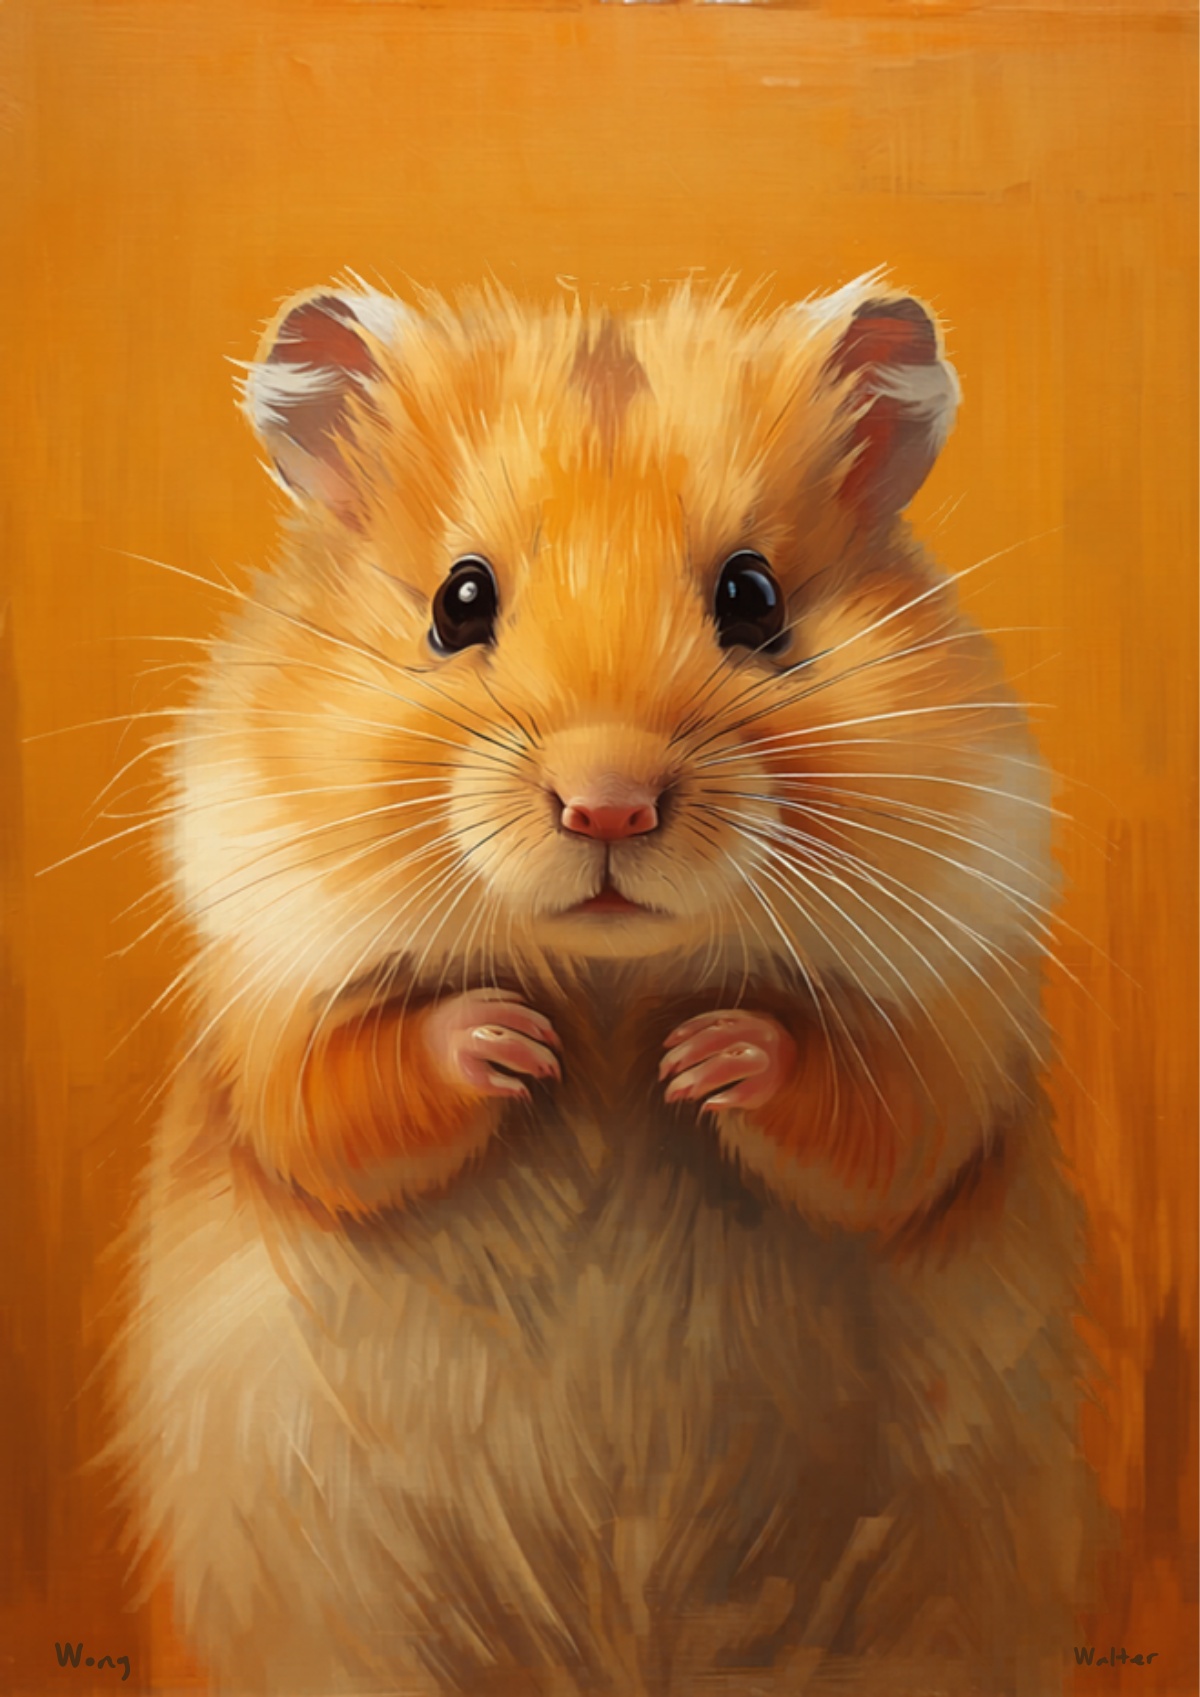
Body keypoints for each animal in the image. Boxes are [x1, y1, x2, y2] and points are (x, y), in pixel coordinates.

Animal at [112, 276, 1096, 1696]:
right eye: (458, 600)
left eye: (754, 596)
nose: (609, 803)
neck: (612, 980)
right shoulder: (273, 992)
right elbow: (347, 1100)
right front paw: (518, 1045)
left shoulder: (952, 1010)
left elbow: (876, 1121)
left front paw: (704, 1058)